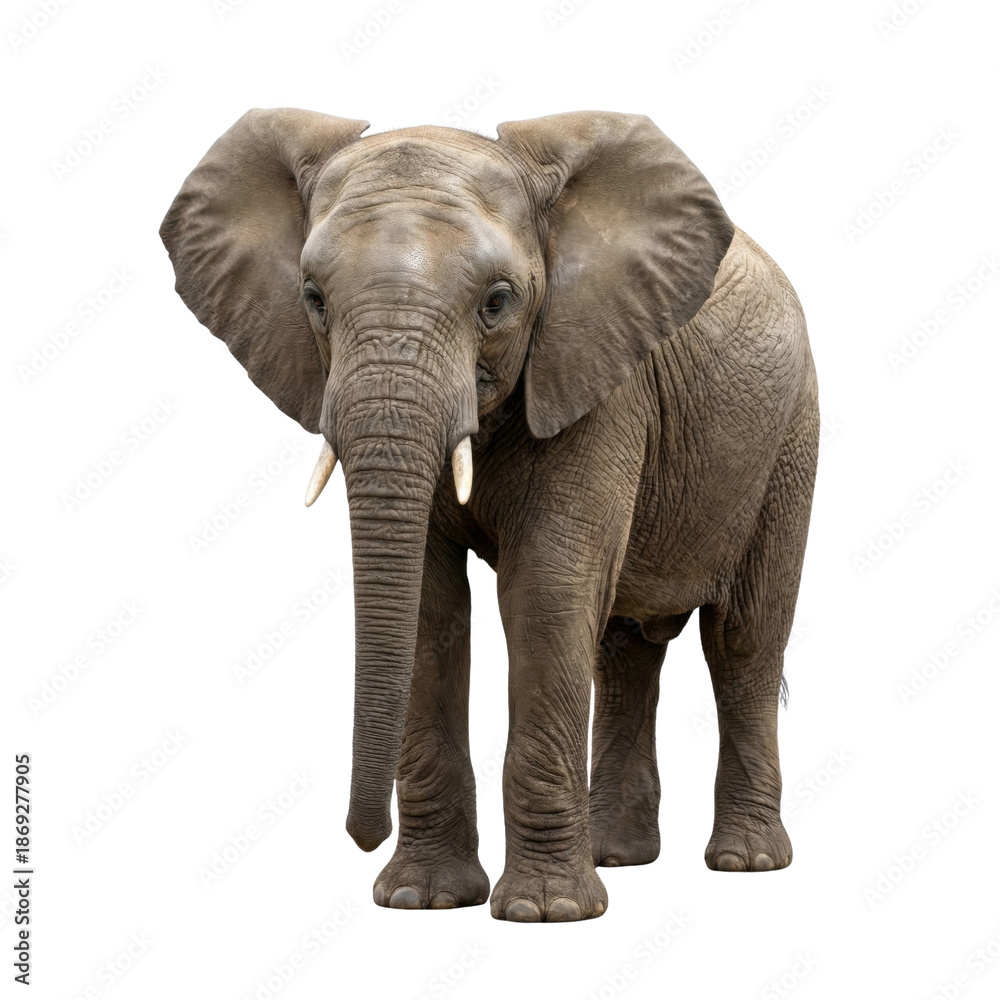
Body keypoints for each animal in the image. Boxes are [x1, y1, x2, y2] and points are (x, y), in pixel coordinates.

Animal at [160, 107, 819, 922]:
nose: (360, 834)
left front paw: (547, 913)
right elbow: (430, 606)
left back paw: (745, 862)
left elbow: (546, 595)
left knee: (744, 640)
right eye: (312, 297)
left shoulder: (597, 376)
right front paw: (421, 899)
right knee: (625, 647)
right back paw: (618, 856)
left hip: (789, 436)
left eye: (498, 302)